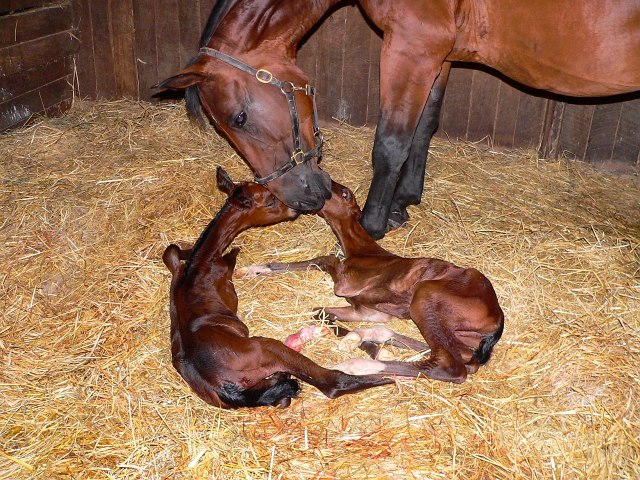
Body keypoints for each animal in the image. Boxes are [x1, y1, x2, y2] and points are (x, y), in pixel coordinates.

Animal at [156, 0, 640, 238]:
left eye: (239, 117)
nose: (303, 199)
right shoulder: (437, 53)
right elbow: (423, 128)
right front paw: (404, 201)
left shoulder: (412, 44)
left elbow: (391, 142)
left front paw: (372, 223)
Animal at [162, 169, 398, 408]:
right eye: (269, 201)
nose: (295, 208)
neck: (200, 262)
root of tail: (226, 388)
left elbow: (171, 249)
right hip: (269, 347)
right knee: (331, 381)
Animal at [236, 182, 504, 384]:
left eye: (344, 192)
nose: (319, 185)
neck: (363, 251)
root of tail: (497, 318)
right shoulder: (365, 311)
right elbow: (321, 309)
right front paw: (253, 269)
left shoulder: (352, 287)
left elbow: (328, 261)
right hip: (458, 332)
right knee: (462, 356)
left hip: (425, 295)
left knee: (451, 365)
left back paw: (357, 365)